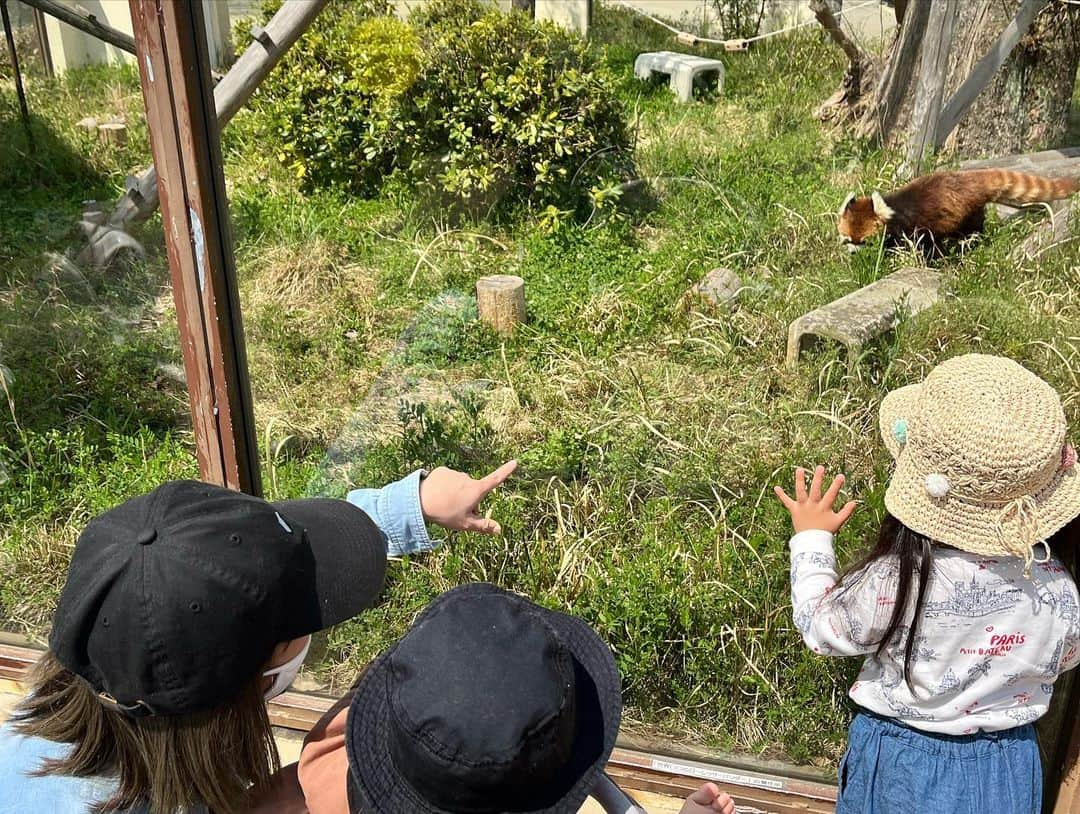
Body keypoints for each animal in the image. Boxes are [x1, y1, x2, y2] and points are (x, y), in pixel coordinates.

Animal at [833, 168, 1080, 250]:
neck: (892, 208)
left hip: (968, 215)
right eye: (848, 239)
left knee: (971, 232)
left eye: (865, 242)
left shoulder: (911, 229)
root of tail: (971, 178)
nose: (853, 252)